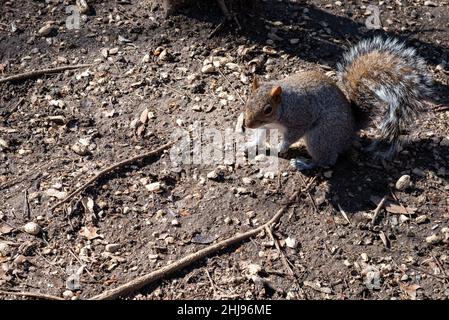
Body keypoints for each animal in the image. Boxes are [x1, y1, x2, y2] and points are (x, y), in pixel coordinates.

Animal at [243, 37, 432, 170]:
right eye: (248, 100)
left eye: (268, 109)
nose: (248, 124)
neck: (284, 106)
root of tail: (352, 129)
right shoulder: (266, 125)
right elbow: (260, 135)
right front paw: (251, 144)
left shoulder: (300, 118)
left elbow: (290, 138)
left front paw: (278, 147)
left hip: (320, 136)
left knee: (327, 160)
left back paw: (305, 164)